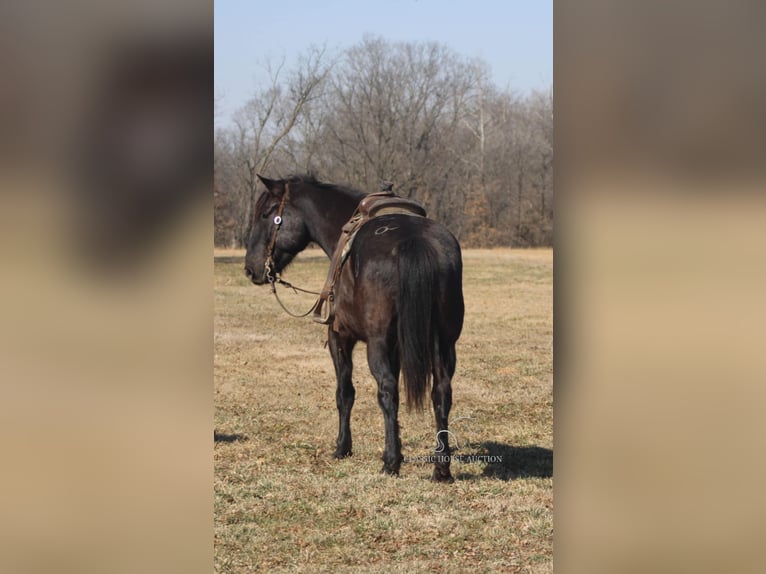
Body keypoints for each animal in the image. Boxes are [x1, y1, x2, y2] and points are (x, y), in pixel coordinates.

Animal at [246, 174, 464, 482]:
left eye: (267, 214)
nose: (251, 268)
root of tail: (415, 241)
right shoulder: (397, 348)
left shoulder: (340, 337)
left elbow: (345, 393)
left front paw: (343, 447)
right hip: (444, 343)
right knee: (441, 392)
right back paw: (441, 468)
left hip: (377, 344)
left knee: (387, 391)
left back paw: (391, 462)